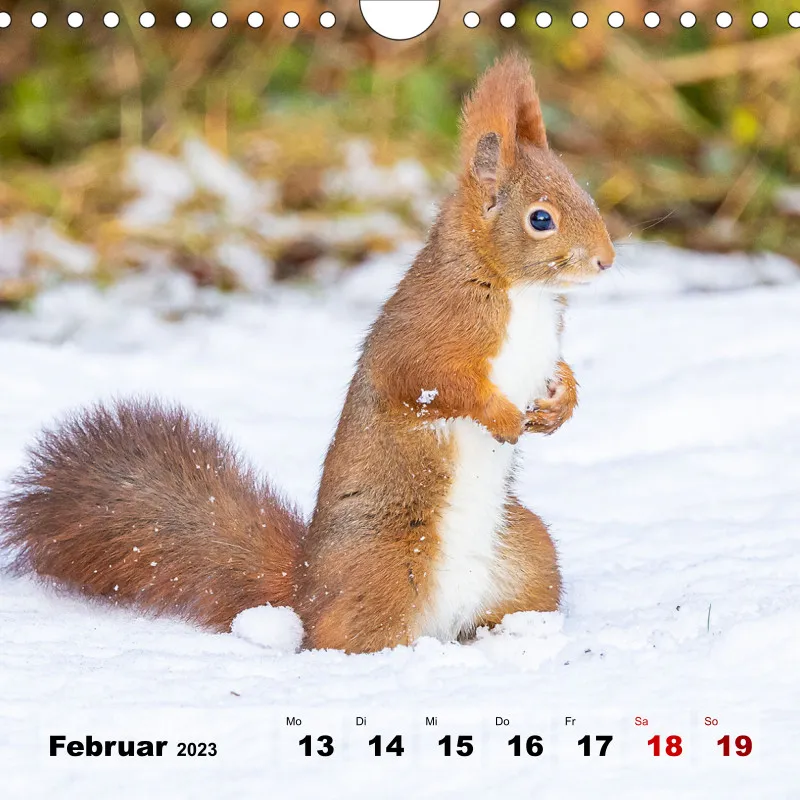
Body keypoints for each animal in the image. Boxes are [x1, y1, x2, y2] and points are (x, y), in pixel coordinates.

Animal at [1, 55, 614, 654]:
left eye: (585, 194)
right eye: (541, 219)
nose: (607, 260)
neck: (518, 292)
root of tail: (305, 588)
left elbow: (556, 372)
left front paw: (559, 405)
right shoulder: (428, 332)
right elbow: (431, 379)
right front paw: (504, 416)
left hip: (528, 551)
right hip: (388, 567)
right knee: (341, 636)